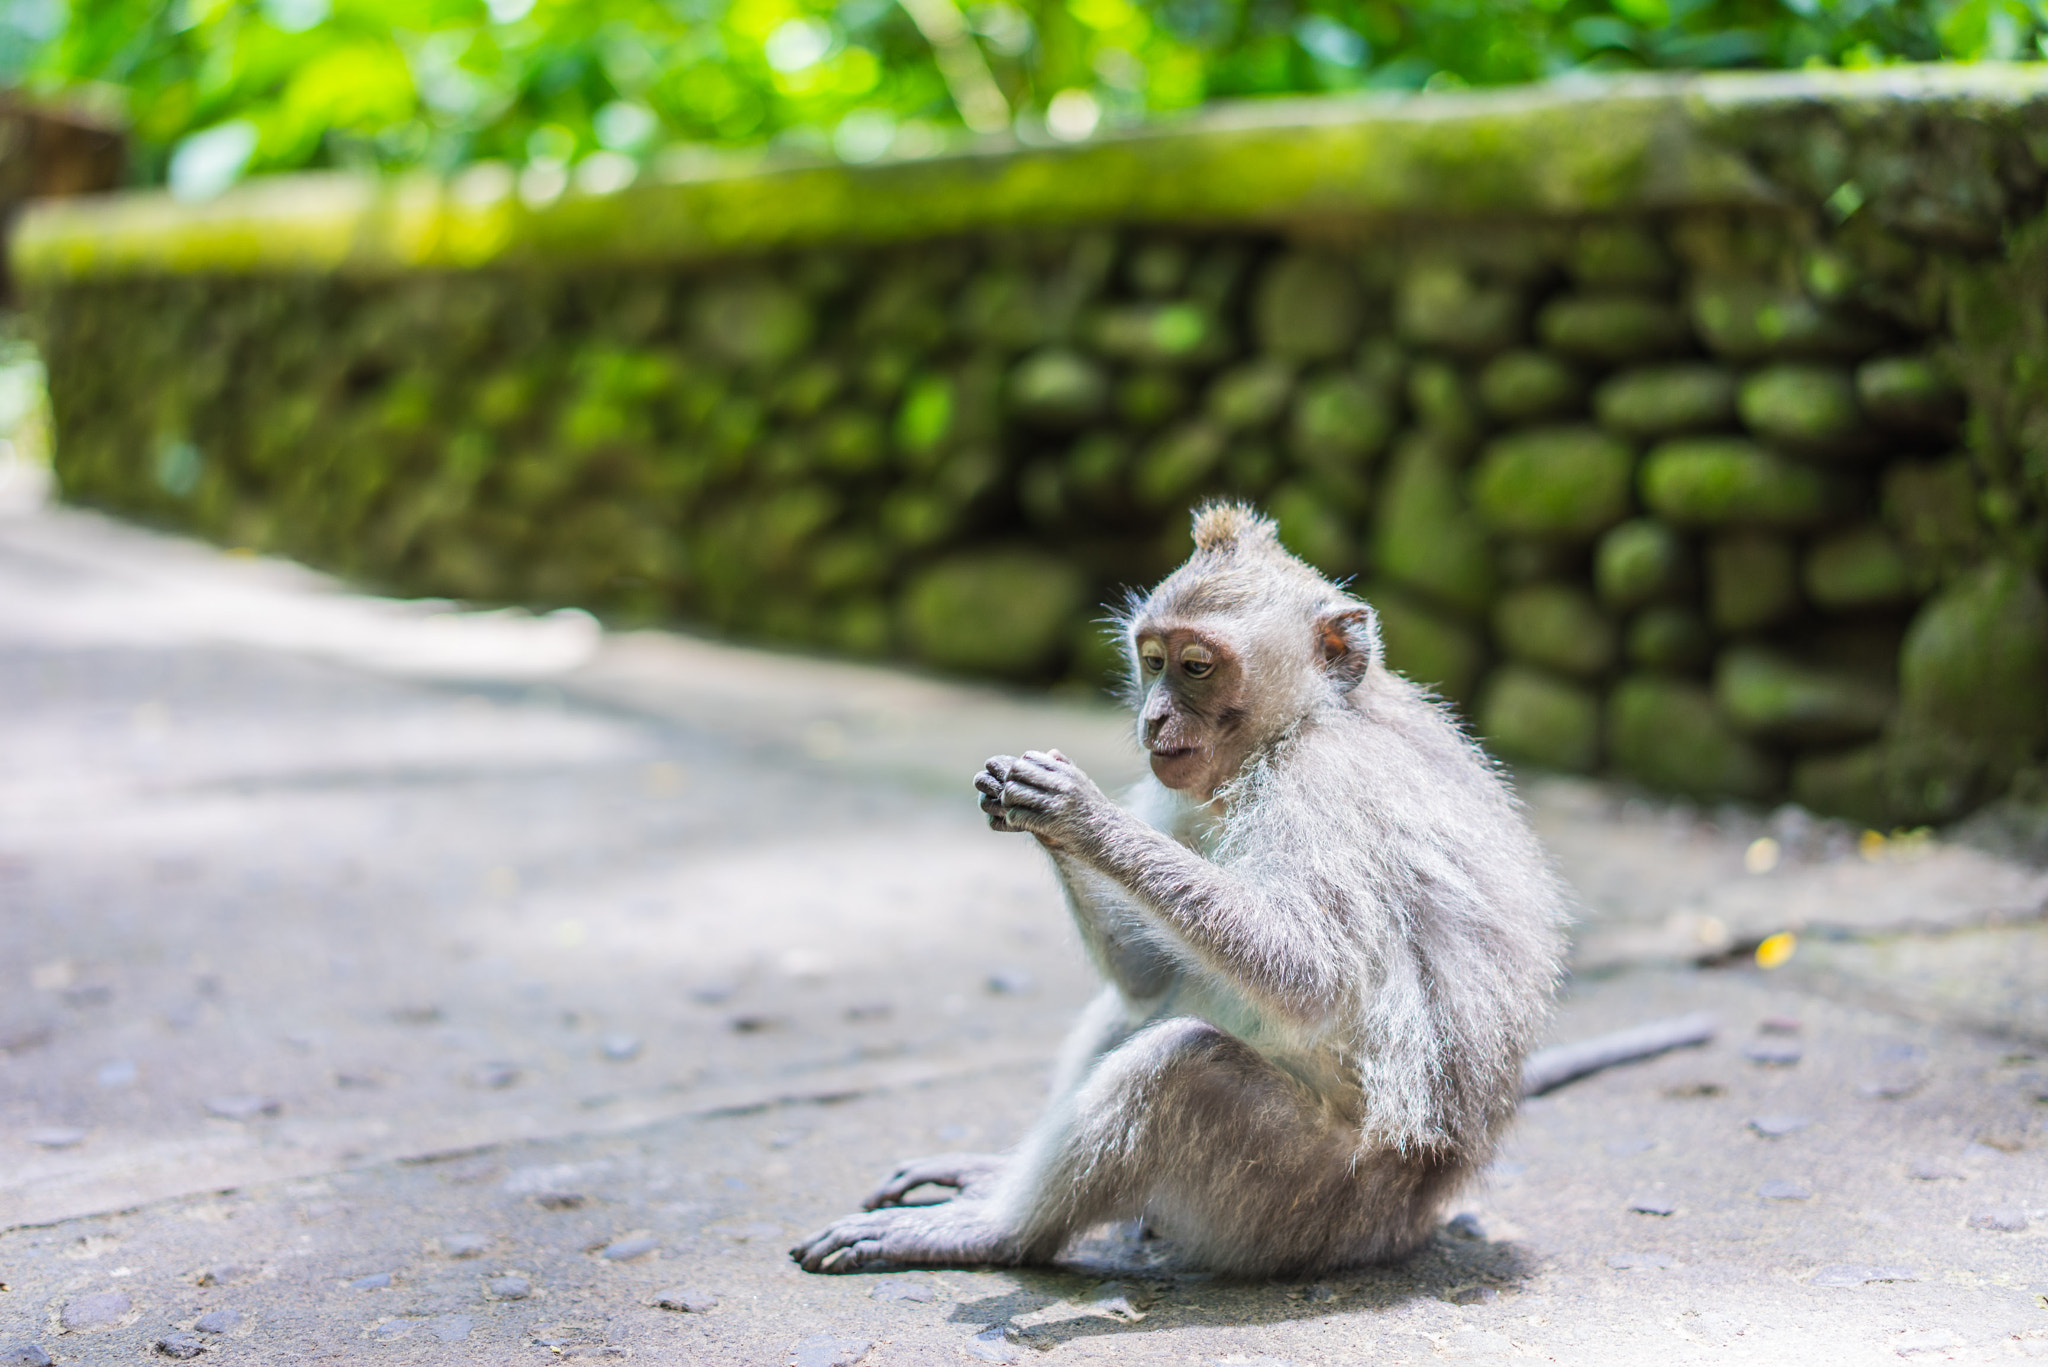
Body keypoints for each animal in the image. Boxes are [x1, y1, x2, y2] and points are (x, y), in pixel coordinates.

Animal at [791, 502, 1571, 1278]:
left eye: (1196, 666)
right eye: (1152, 661)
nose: (1153, 718)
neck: (1296, 729)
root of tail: (1424, 1198)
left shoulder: (1327, 785)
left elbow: (1311, 973)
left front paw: (1081, 814)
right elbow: (1147, 973)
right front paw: (1030, 805)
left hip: (1304, 1202)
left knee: (1183, 1065)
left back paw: (996, 1232)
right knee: (1150, 1002)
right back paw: (996, 1177)